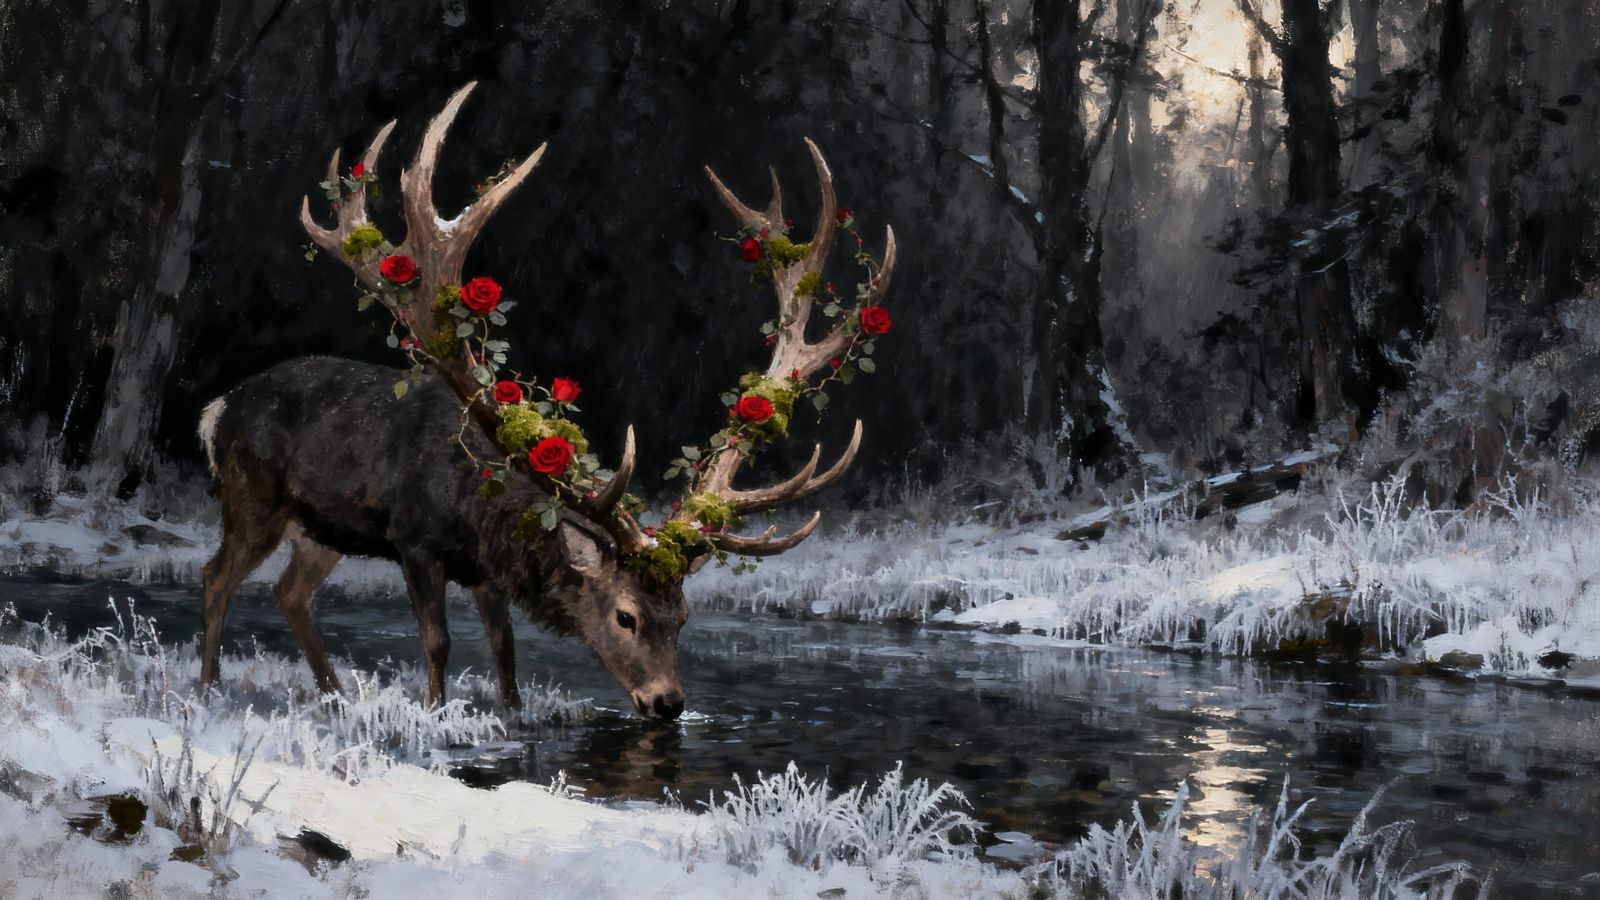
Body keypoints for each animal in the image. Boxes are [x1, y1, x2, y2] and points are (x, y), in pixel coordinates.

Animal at [196, 82, 896, 721]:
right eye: (625, 616)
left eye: (684, 615)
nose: (667, 703)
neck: (481, 504)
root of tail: (217, 408)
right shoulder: (414, 539)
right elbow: (437, 641)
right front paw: (433, 713)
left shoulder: (487, 571)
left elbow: (504, 648)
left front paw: (511, 715)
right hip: (251, 495)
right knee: (217, 575)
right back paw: (207, 689)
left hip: (322, 527)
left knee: (290, 592)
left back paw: (335, 695)